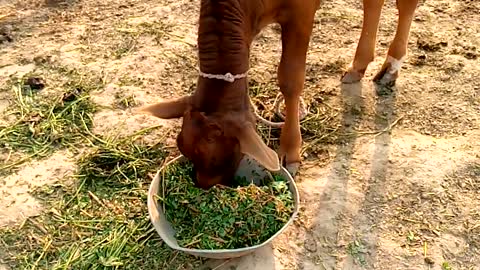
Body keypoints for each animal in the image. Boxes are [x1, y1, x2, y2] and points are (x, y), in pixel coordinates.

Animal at [141, 0, 418, 189]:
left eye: (220, 157)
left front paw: (291, 149)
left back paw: (391, 66)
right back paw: (359, 64)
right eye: (183, 147)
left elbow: (290, 78)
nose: (205, 186)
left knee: (405, 5)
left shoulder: (301, 12)